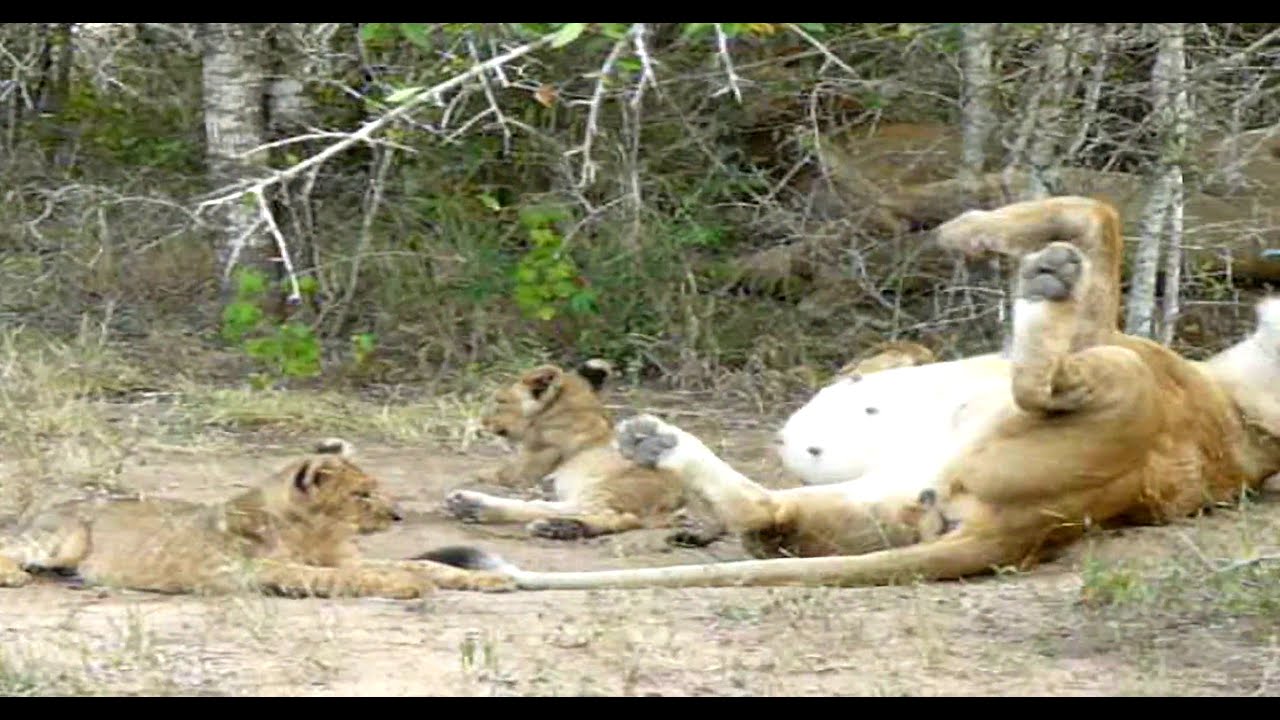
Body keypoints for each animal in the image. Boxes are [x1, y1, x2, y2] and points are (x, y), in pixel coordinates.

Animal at [0, 439, 514, 597]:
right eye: (362, 493)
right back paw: (16, 575)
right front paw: (407, 587)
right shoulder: (262, 568)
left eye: (378, 487)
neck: (316, 529)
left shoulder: (343, 557)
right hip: (63, 539)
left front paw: (488, 580)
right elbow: (344, 580)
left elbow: (424, 562)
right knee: (13, 547)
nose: (398, 515)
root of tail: (48, 505)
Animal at [442, 359, 696, 541]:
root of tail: (679, 500)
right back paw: (559, 528)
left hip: (608, 487)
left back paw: (472, 505)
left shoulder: (522, 470)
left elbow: (481, 473)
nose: (483, 422)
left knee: (596, 513)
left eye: (500, 401)